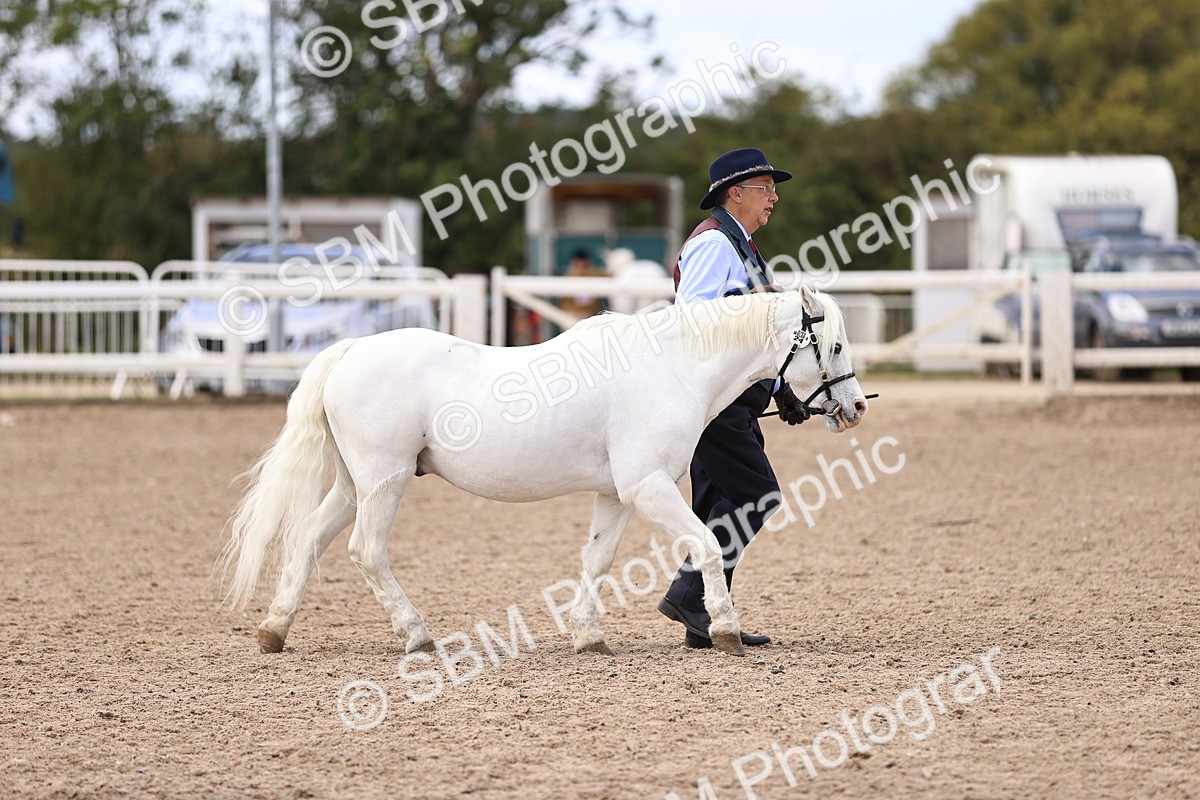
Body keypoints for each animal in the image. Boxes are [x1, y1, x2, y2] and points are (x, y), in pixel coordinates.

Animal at [221, 286, 869, 657]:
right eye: (835, 346)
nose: (857, 407)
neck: (674, 367)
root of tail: (351, 349)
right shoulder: (648, 486)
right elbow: (708, 542)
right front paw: (729, 631)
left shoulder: (617, 493)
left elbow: (597, 561)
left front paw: (588, 637)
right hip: (385, 480)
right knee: (366, 550)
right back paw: (417, 636)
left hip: (353, 485)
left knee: (308, 540)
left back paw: (275, 631)